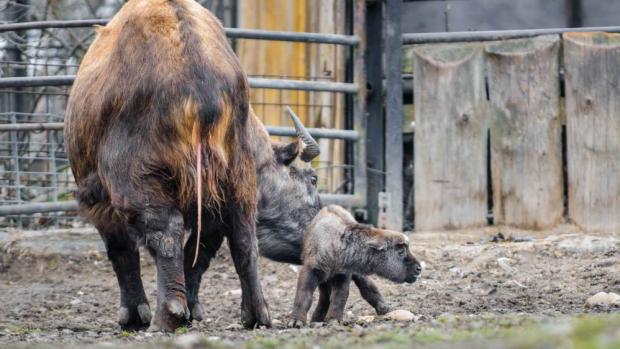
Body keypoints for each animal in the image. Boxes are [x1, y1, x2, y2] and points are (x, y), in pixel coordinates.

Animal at [286, 204, 422, 326]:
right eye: (401, 251)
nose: (419, 268)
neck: (337, 247)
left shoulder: (343, 275)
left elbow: (339, 297)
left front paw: (333, 319)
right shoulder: (312, 271)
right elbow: (304, 295)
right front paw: (296, 320)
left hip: (356, 274)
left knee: (367, 287)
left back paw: (384, 308)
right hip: (325, 280)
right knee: (324, 298)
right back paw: (316, 319)